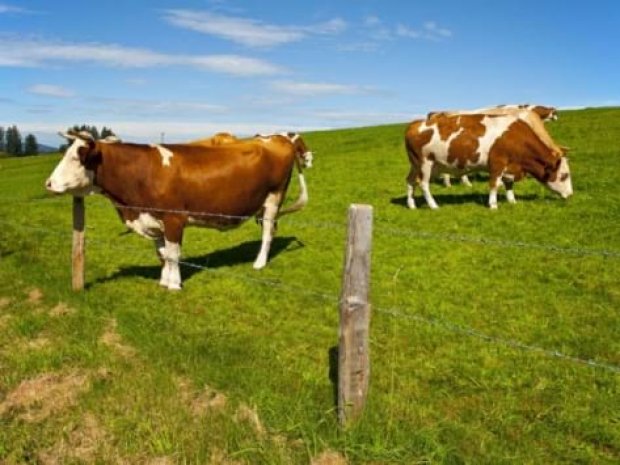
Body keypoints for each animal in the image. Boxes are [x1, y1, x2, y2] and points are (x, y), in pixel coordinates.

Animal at [46, 130, 312, 288]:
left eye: (75, 158)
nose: (48, 184)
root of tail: (276, 136)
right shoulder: (153, 221)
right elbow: (162, 254)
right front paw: (164, 281)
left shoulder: (174, 219)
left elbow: (173, 254)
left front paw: (174, 285)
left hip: (274, 198)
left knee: (267, 233)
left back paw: (259, 263)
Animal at [404, 112, 572, 208]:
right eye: (564, 176)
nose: (570, 195)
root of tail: (415, 124)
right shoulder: (497, 162)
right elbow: (494, 184)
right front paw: (493, 205)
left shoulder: (510, 166)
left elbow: (509, 184)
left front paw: (512, 201)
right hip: (425, 163)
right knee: (423, 184)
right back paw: (433, 205)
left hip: (419, 165)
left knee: (410, 181)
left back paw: (411, 205)